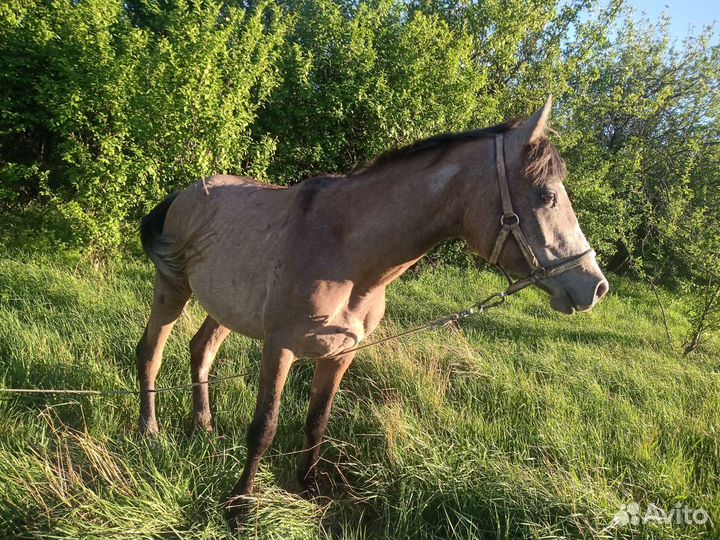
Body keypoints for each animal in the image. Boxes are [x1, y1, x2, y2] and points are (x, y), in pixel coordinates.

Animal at [135, 97, 608, 520]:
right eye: (546, 195)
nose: (595, 286)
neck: (346, 251)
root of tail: (186, 193)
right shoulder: (279, 348)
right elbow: (264, 428)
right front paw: (240, 505)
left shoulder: (341, 353)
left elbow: (318, 421)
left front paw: (309, 488)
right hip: (172, 289)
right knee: (150, 352)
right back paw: (149, 431)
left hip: (225, 308)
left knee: (201, 350)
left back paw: (203, 427)